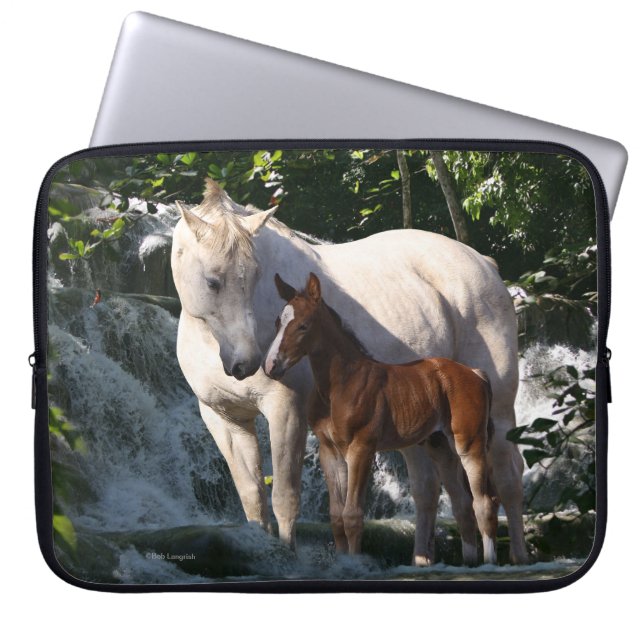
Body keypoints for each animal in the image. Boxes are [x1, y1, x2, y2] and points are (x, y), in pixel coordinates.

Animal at [264, 272, 500, 563]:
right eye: (277, 322)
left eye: (303, 326)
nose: (271, 365)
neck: (341, 385)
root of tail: (475, 373)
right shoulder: (330, 452)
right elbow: (336, 517)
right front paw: (343, 563)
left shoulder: (361, 448)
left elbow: (352, 515)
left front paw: (355, 563)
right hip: (440, 447)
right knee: (463, 507)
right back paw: (468, 564)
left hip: (469, 444)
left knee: (484, 503)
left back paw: (490, 563)